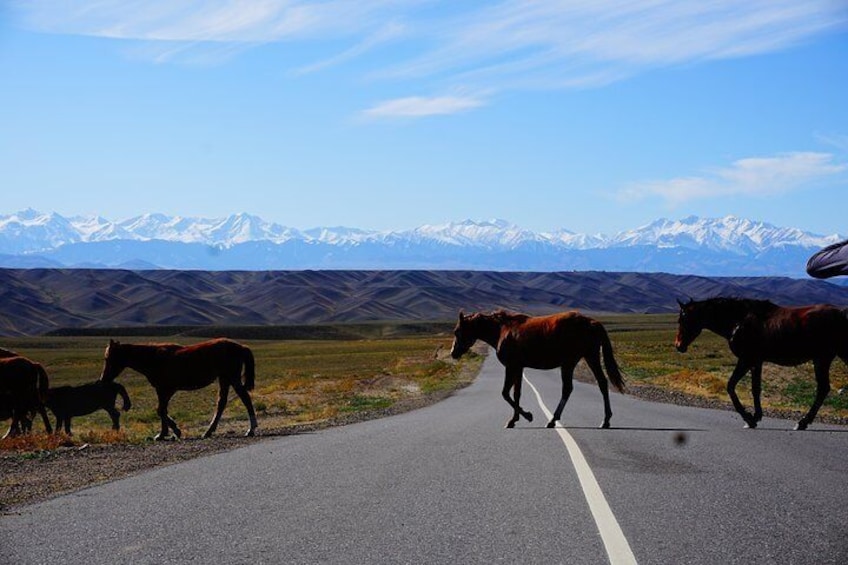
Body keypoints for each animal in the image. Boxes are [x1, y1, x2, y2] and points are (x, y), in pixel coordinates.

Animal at [100, 338, 258, 438]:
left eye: (109, 358)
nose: (103, 379)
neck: (154, 359)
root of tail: (240, 347)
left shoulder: (167, 390)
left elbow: (161, 410)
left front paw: (171, 431)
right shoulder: (161, 391)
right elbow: (162, 410)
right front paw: (164, 433)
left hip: (232, 378)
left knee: (245, 398)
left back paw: (251, 429)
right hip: (224, 379)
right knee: (222, 403)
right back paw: (208, 431)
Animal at [450, 308, 624, 428]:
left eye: (457, 331)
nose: (453, 353)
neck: (502, 330)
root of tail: (592, 322)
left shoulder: (511, 366)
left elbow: (505, 393)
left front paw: (526, 416)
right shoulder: (519, 368)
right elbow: (516, 393)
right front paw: (514, 419)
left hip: (570, 363)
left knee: (568, 389)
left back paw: (553, 420)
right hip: (590, 357)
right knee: (602, 383)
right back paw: (605, 420)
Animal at [676, 298, 848, 430]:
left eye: (684, 319)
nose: (678, 345)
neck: (738, 321)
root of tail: (841, 313)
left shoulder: (746, 359)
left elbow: (731, 386)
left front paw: (748, 418)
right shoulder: (756, 362)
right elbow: (755, 389)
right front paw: (756, 417)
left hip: (822, 358)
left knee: (823, 388)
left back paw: (802, 422)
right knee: (823, 388)